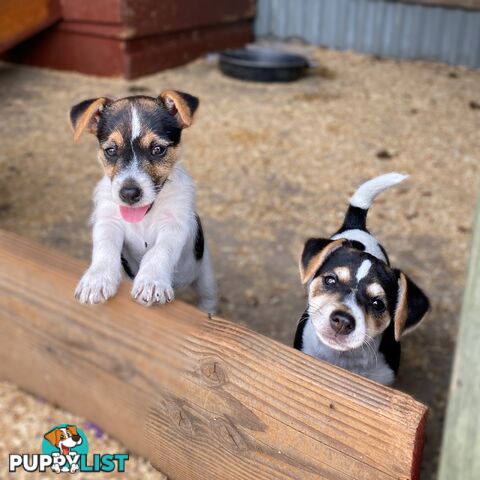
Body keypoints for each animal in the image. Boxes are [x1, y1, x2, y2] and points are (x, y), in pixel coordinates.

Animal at [69, 91, 218, 314]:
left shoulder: (175, 224)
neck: (144, 216)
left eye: (157, 149)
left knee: (208, 297)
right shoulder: (108, 221)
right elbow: (105, 248)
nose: (129, 194)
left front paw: (152, 281)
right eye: (110, 151)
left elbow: (159, 251)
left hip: (205, 275)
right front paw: (97, 279)